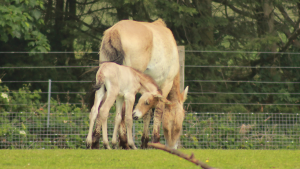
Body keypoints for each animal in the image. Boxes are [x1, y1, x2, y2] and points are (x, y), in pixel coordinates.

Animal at [97, 18, 189, 148]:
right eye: (179, 125)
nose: (172, 147)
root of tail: (114, 31)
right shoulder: (165, 85)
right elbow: (158, 110)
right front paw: (155, 140)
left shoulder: (150, 92)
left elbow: (147, 112)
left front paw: (145, 142)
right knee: (123, 111)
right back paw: (124, 143)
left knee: (99, 106)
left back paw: (94, 142)